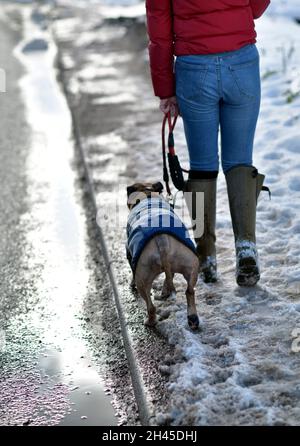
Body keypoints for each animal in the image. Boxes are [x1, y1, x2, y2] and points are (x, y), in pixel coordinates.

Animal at [125, 182, 200, 332]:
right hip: (191, 264)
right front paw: (165, 291)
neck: (147, 194)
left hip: (142, 276)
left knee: (150, 305)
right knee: (189, 291)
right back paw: (193, 319)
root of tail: (162, 241)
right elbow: (169, 276)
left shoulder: (130, 254)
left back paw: (150, 321)